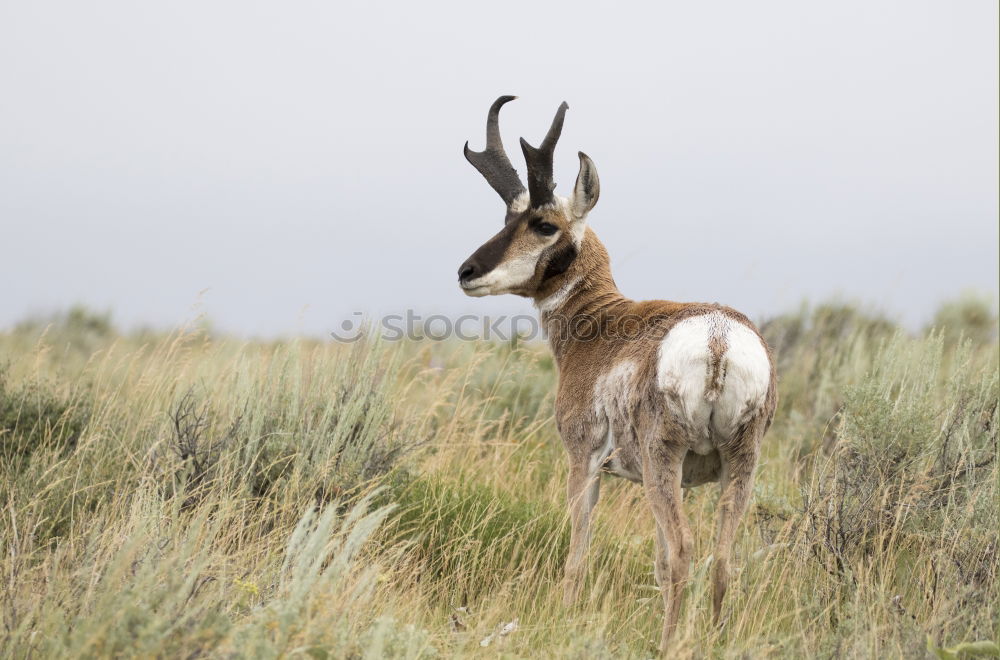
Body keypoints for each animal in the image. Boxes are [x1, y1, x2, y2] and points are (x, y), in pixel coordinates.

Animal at [458, 96, 776, 648]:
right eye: (507, 216)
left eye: (543, 224)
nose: (466, 271)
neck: (601, 321)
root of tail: (717, 336)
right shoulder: (685, 481)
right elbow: (657, 563)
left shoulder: (583, 463)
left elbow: (577, 557)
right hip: (739, 464)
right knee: (720, 560)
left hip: (661, 462)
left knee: (683, 552)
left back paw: (667, 645)